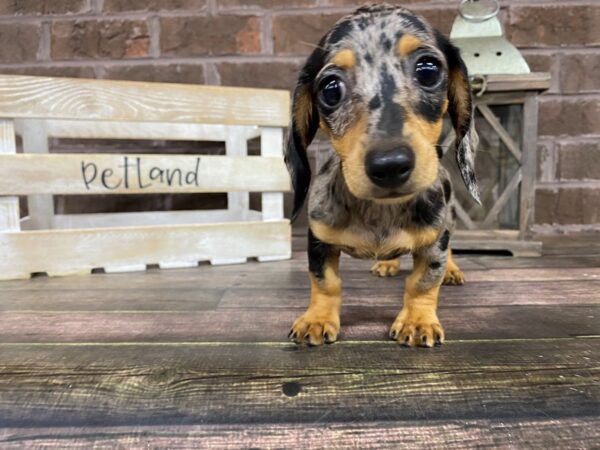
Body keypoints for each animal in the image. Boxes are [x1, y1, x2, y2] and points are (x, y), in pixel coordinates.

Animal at [284, 4, 480, 348]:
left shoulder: (435, 240)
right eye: (330, 89)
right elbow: (325, 282)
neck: (380, 211)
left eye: (428, 70)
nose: (389, 165)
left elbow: (423, 281)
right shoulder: (319, 239)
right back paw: (388, 262)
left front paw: (418, 321)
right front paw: (317, 319)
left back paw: (452, 270)